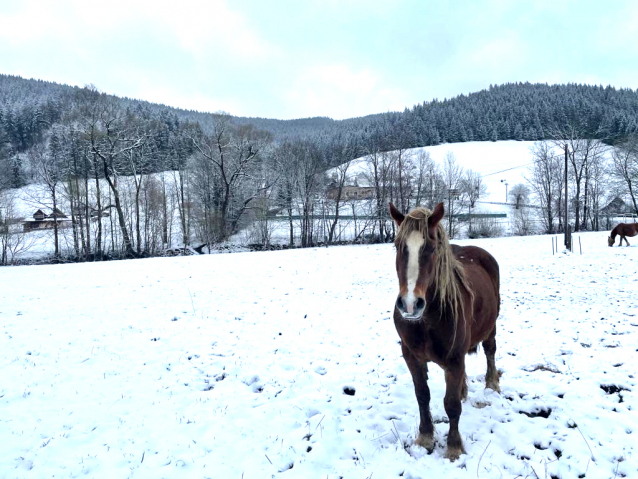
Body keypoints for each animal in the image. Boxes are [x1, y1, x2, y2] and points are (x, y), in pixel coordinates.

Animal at [388, 202, 502, 462]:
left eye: (431, 248)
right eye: (398, 246)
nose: (410, 304)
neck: (427, 320)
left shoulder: (453, 360)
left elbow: (451, 405)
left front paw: (453, 447)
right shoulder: (412, 357)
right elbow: (422, 395)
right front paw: (425, 437)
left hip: (491, 326)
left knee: (490, 351)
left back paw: (492, 384)